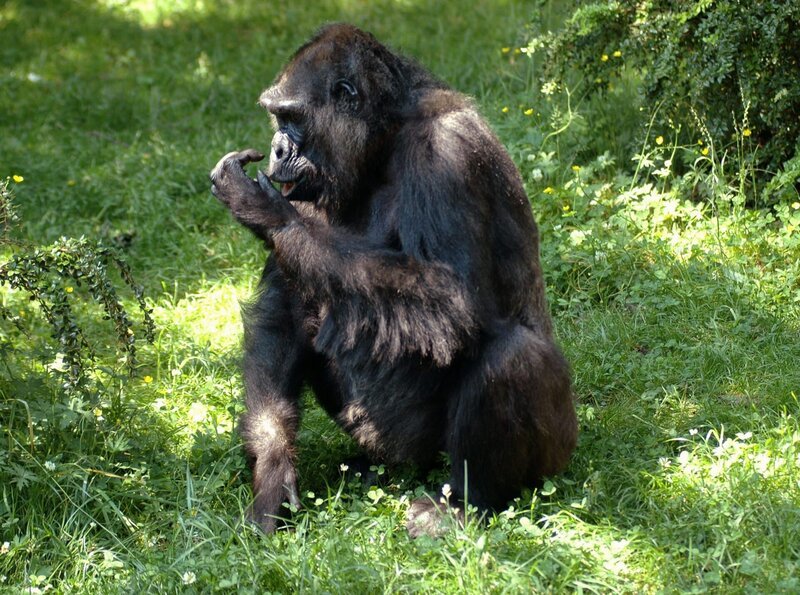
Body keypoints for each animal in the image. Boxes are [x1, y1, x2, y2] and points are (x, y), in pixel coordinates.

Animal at [211, 23, 576, 536]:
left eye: (291, 117)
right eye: (277, 117)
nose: (279, 148)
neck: (384, 141)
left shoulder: (447, 151)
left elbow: (450, 299)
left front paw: (266, 212)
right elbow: (282, 310)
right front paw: (272, 468)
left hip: (555, 451)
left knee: (510, 356)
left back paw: (468, 503)